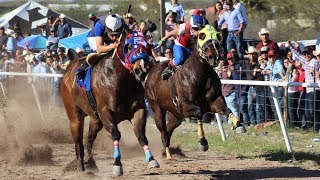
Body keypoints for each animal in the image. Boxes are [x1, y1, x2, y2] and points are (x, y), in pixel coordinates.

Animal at [60, 27, 159, 175]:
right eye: (129, 46)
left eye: (147, 46)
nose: (140, 71)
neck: (121, 80)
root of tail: (70, 66)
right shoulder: (106, 112)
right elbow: (115, 134)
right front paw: (117, 164)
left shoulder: (138, 109)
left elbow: (141, 134)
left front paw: (152, 160)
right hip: (74, 116)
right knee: (78, 143)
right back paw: (82, 167)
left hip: (96, 120)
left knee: (89, 138)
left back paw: (90, 162)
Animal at [144, 24, 246, 160]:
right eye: (202, 36)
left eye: (217, 36)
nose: (213, 56)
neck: (200, 74)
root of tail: (151, 72)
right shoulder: (185, 105)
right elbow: (198, 113)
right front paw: (203, 142)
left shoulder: (213, 100)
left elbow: (225, 109)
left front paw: (239, 125)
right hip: (156, 108)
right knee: (163, 130)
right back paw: (168, 154)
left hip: (176, 114)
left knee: (168, 131)